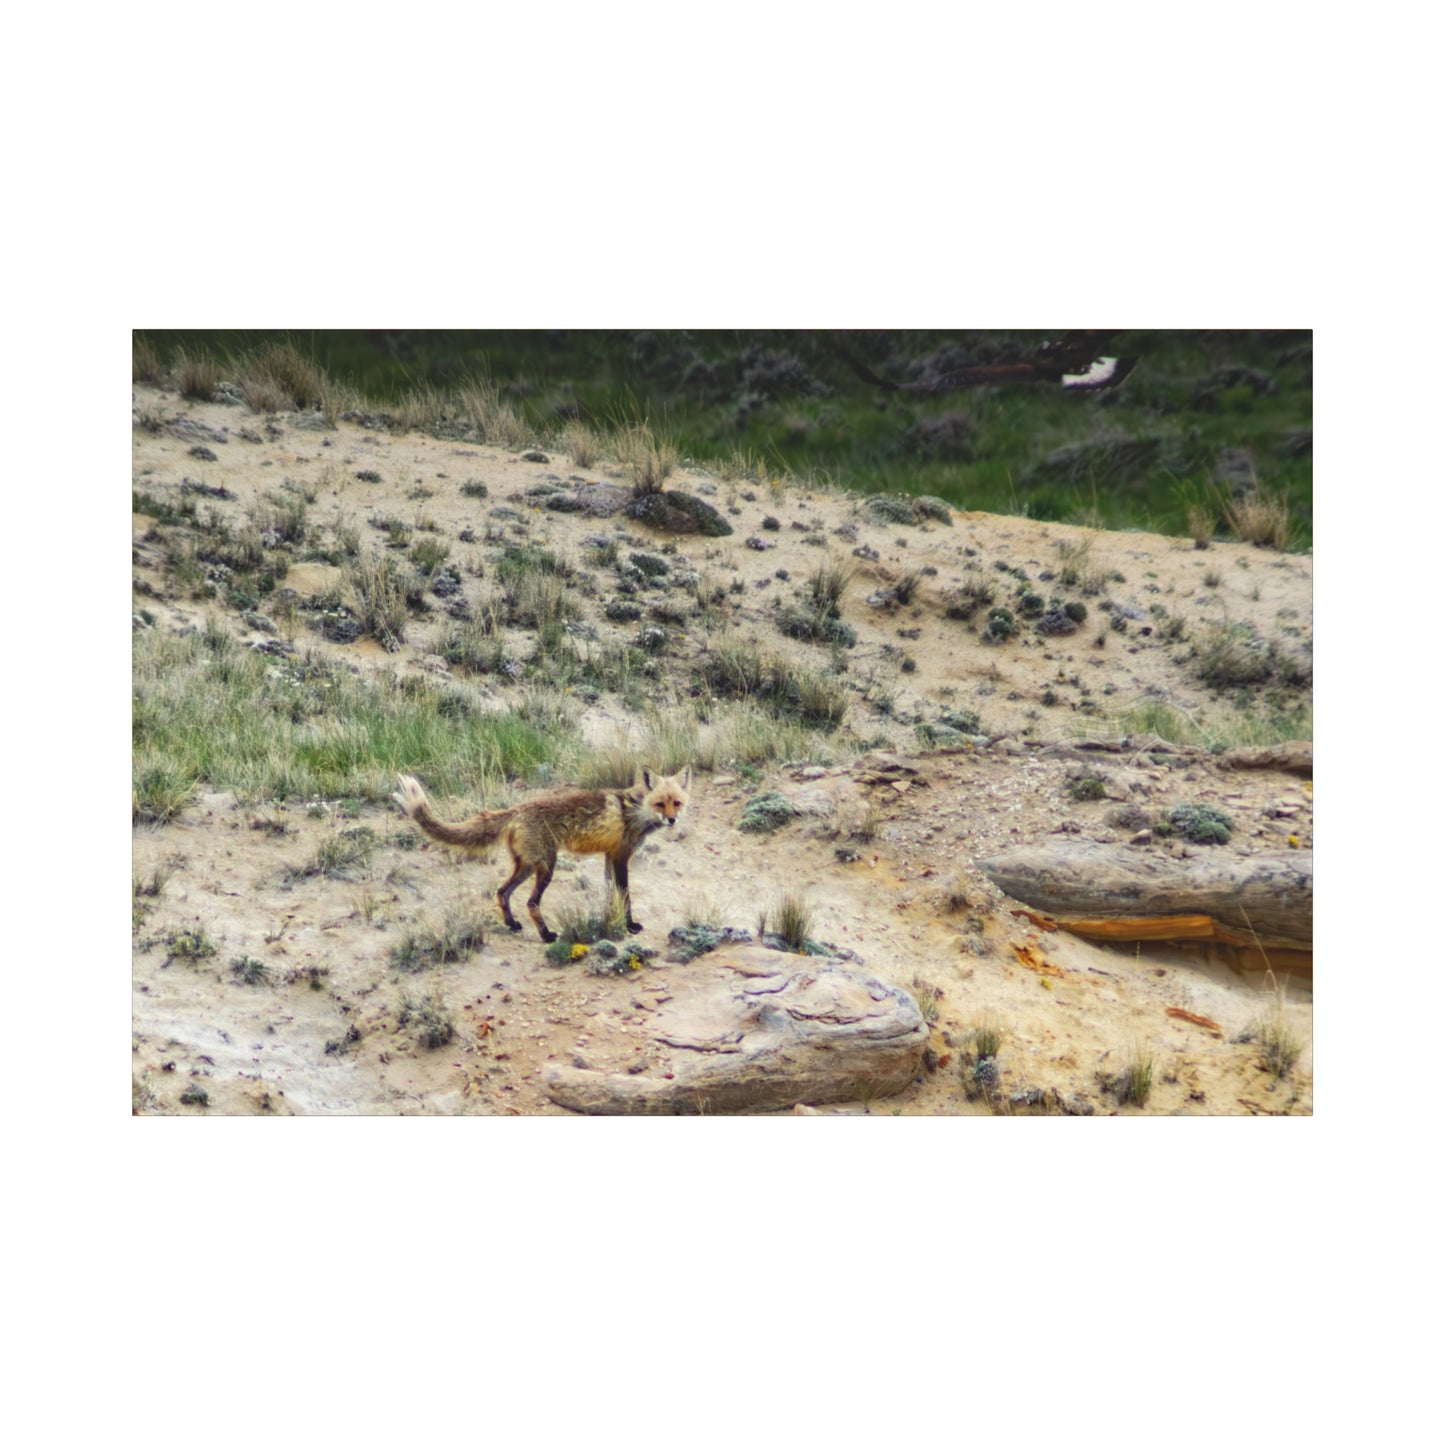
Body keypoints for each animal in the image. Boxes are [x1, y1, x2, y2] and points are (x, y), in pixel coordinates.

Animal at [392, 767, 691, 943]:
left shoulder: (609, 856)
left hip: (526, 866)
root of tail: (516, 809)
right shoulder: (620, 856)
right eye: (660, 803)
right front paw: (629, 925)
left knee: (502, 892)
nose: (672, 820)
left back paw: (512, 924)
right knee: (531, 902)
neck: (636, 810)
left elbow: (610, 894)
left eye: (676, 803)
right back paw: (546, 935)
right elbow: (625, 894)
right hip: (547, 867)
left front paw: (611, 921)